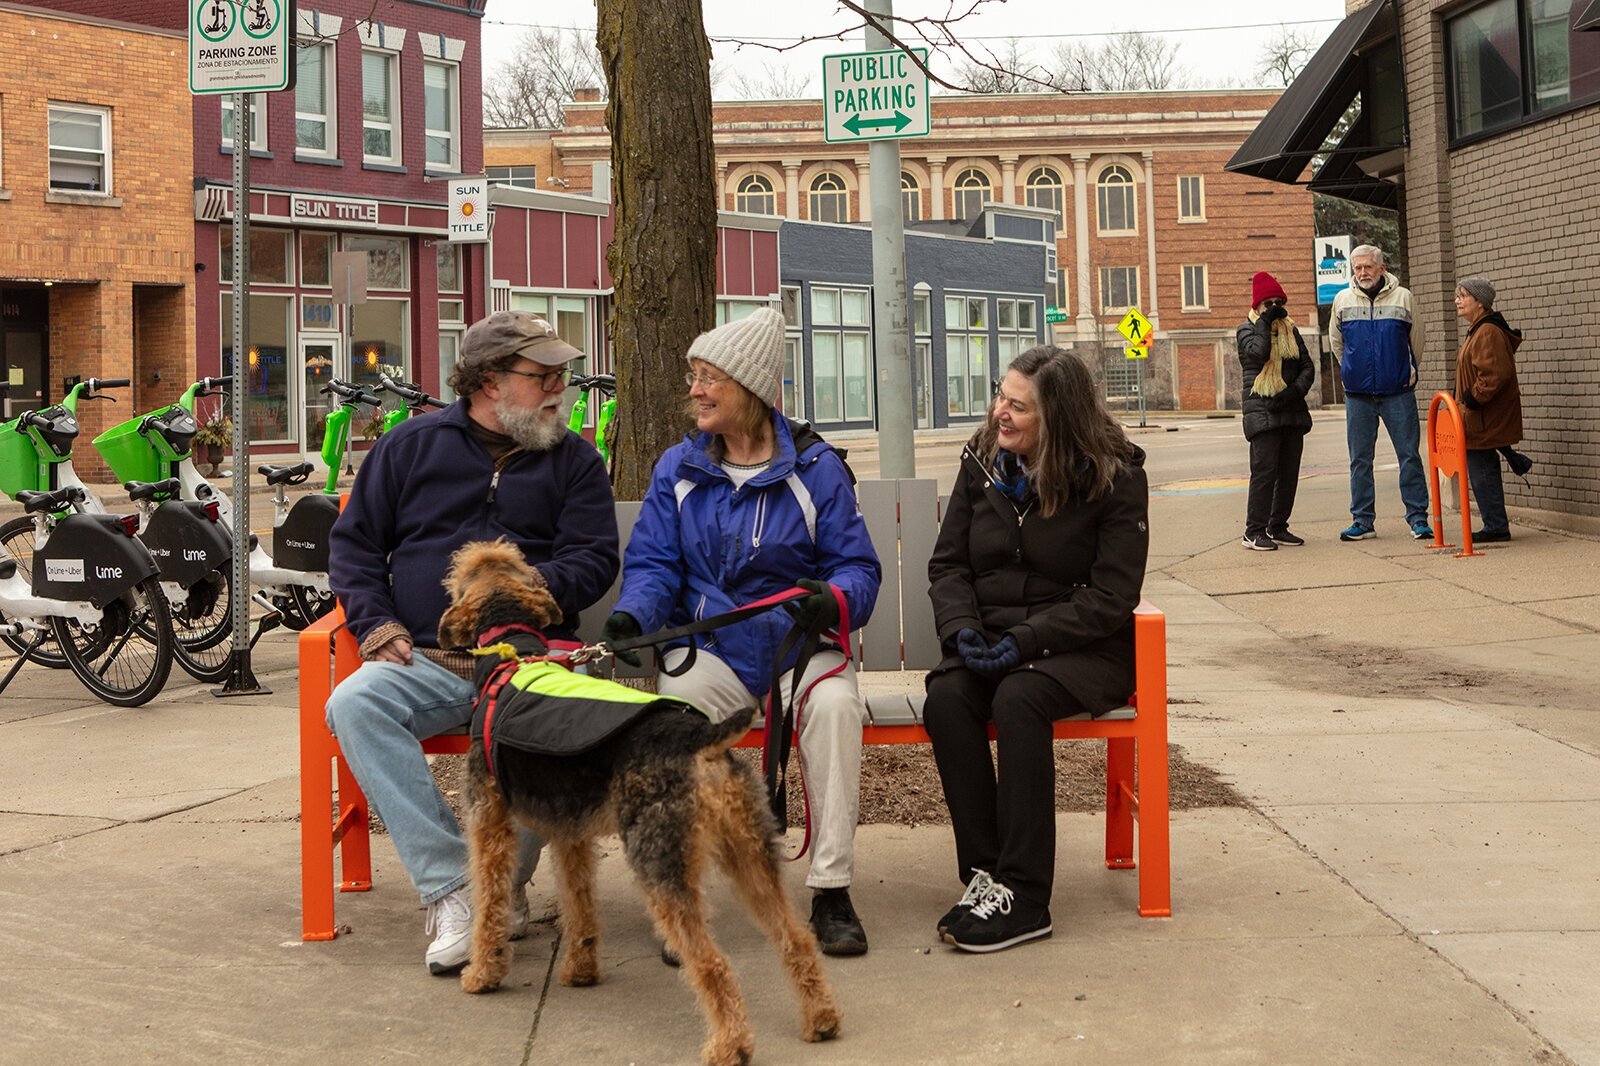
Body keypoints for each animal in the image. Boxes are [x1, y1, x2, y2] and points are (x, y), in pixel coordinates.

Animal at [438, 541, 838, 1062]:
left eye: (463, 572)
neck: (514, 656)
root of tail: (701, 738)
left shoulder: (490, 823)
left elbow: (490, 901)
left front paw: (482, 973)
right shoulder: (571, 835)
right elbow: (579, 901)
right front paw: (581, 969)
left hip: (659, 860)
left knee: (711, 962)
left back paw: (729, 1045)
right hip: (749, 851)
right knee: (794, 937)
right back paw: (821, 1019)